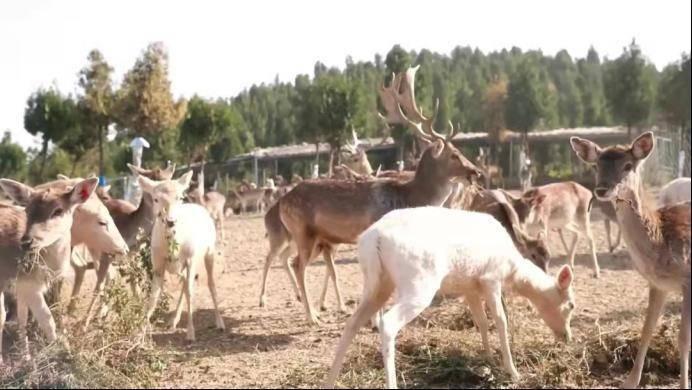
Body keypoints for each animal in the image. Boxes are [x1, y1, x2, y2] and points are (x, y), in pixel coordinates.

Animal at [138, 171, 227, 342]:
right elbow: (153, 296)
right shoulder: (157, 263)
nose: (171, 221)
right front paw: (139, 332)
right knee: (185, 284)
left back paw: (220, 323)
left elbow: (191, 293)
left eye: (180, 197)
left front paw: (191, 334)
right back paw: (173, 321)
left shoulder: (191, 259)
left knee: (210, 284)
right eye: (156, 198)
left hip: (209, 252)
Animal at [324, 206, 572, 388]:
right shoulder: (491, 278)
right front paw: (513, 372)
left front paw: (488, 358)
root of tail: (374, 237)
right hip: (418, 284)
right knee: (388, 323)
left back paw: (330, 380)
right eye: (570, 305)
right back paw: (390, 384)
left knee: (352, 323)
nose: (567, 337)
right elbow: (501, 321)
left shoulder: (470, 287)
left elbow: (481, 322)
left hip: (376, 282)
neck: (512, 269)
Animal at [572, 133, 688, 388]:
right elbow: (646, 330)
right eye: (596, 166)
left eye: (628, 165)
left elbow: (684, 338)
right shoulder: (658, 284)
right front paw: (629, 382)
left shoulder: (689, 281)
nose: (602, 189)